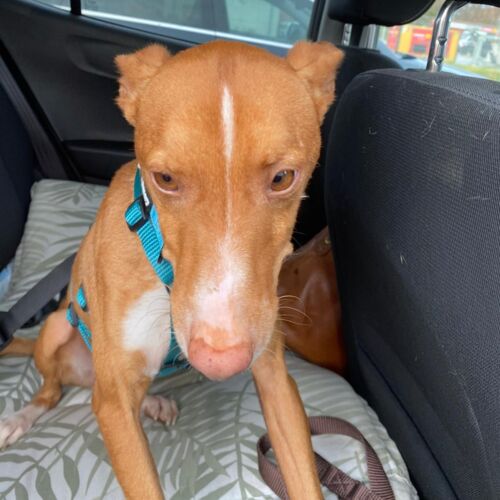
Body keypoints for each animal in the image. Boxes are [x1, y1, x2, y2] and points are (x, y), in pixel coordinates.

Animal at [0, 40, 343, 499]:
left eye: (283, 177)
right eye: (164, 178)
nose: (220, 359)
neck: (162, 269)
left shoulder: (275, 376)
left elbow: (304, 477)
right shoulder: (113, 406)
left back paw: (151, 401)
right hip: (58, 331)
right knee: (52, 390)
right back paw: (21, 417)